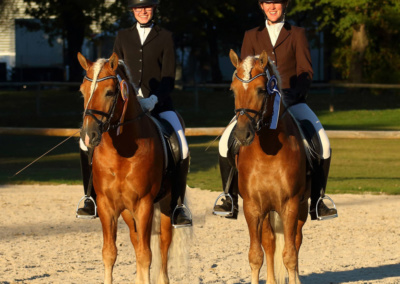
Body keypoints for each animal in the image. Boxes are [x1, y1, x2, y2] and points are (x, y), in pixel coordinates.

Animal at [77, 51, 188, 284]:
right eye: (83, 91)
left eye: (110, 92)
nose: (88, 135)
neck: (121, 150)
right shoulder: (107, 205)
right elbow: (109, 253)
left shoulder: (143, 204)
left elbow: (147, 255)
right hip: (128, 212)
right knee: (136, 241)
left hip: (166, 203)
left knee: (163, 243)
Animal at [228, 50, 310, 282]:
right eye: (232, 90)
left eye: (261, 90)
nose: (242, 135)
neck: (268, 152)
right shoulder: (252, 207)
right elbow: (256, 255)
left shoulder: (290, 205)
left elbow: (290, 255)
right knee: (270, 243)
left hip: (302, 207)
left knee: (296, 241)